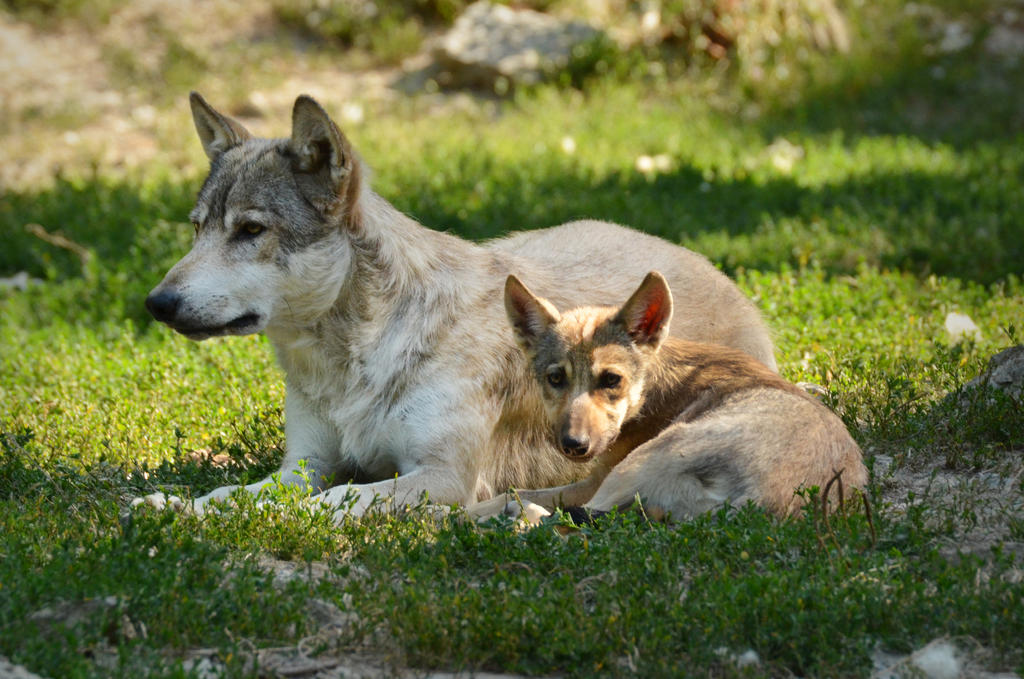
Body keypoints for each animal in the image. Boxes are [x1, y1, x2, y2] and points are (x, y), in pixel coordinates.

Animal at [138, 90, 774, 516]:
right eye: (197, 228)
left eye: (250, 231)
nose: (157, 303)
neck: (353, 363)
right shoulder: (301, 467)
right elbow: (231, 494)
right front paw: (172, 506)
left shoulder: (442, 478)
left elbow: (332, 501)